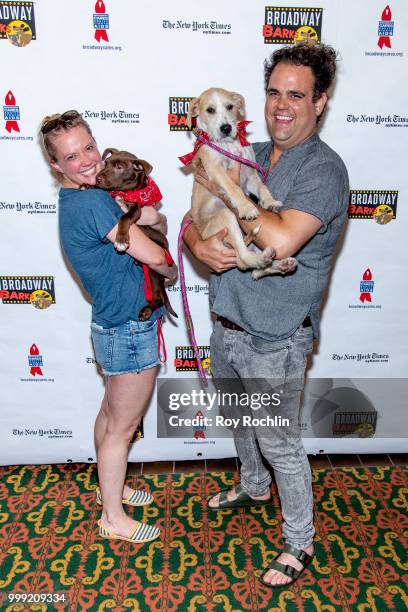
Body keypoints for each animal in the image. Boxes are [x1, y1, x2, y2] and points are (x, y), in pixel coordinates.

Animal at [95, 148, 178, 320]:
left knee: (159, 297)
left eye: (119, 167)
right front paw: (85, 185)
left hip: (154, 270)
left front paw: (121, 240)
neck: (125, 191)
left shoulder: (136, 209)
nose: (97, 178)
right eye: (106, 163)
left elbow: (124, 217)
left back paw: (146, 310)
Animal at [186, 87, 296, 278]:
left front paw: (270, 202)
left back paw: (279, 263)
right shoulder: (215, 169)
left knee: (255, 271)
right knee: (243, 260)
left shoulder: (250, 173)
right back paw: (262, 259)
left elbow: (262, 187)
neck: (229, 144)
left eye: (230, 106)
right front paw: (247, 208)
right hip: (225, 216)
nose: (226, 128)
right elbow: (234, 187)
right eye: (210, 110)